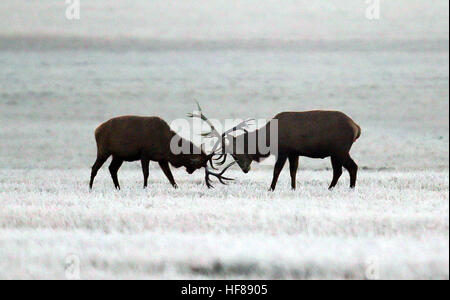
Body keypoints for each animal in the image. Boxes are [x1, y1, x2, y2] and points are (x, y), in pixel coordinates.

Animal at [89, 115, 234, 190]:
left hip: (118, 156)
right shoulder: (145, 153)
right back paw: (90, 188)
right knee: (95, 167)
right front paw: (145, 187)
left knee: (112, 169)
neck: (166, 145)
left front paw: (176, 187)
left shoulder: (162, 159)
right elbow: (146, 173)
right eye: (197, 164)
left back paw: (118, 188)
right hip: (103, 150)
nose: (189, 171)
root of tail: (96, 130)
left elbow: (169, 176)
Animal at [190, 103, 362, 191]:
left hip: (340, 149)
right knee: (339, 170)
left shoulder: (283, 150)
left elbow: (277, 170)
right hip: (335, 152)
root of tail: (357, 127)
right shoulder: (294, 152)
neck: (268, 139)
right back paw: (331, 188)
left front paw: (270, 188)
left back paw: (350, 188)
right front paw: (293, 188)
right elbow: (293, 171)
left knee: (352, 167)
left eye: (237, 154)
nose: (245, 169)